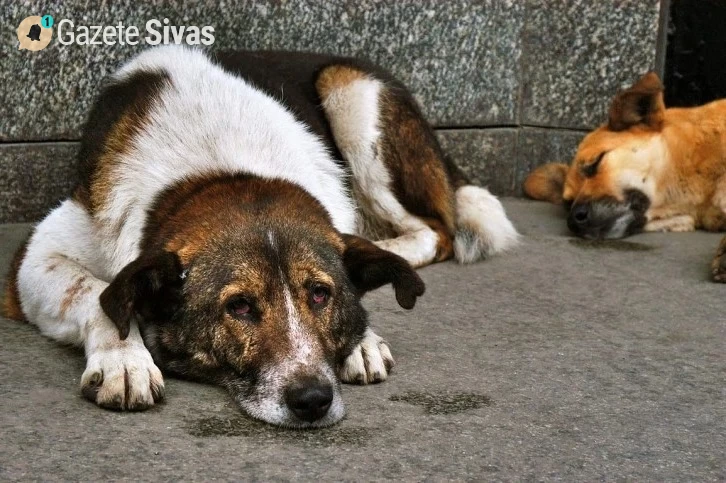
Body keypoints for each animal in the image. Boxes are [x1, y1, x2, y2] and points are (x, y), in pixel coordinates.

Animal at [2, 47, 520, 430]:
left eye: (320, 294)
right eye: (239, 306)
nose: (312, 399)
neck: (223, 170)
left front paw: (364, 335)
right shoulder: (34, 256)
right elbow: (95, 292)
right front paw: (124, 361)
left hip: (351, 90)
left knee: (438, 230)